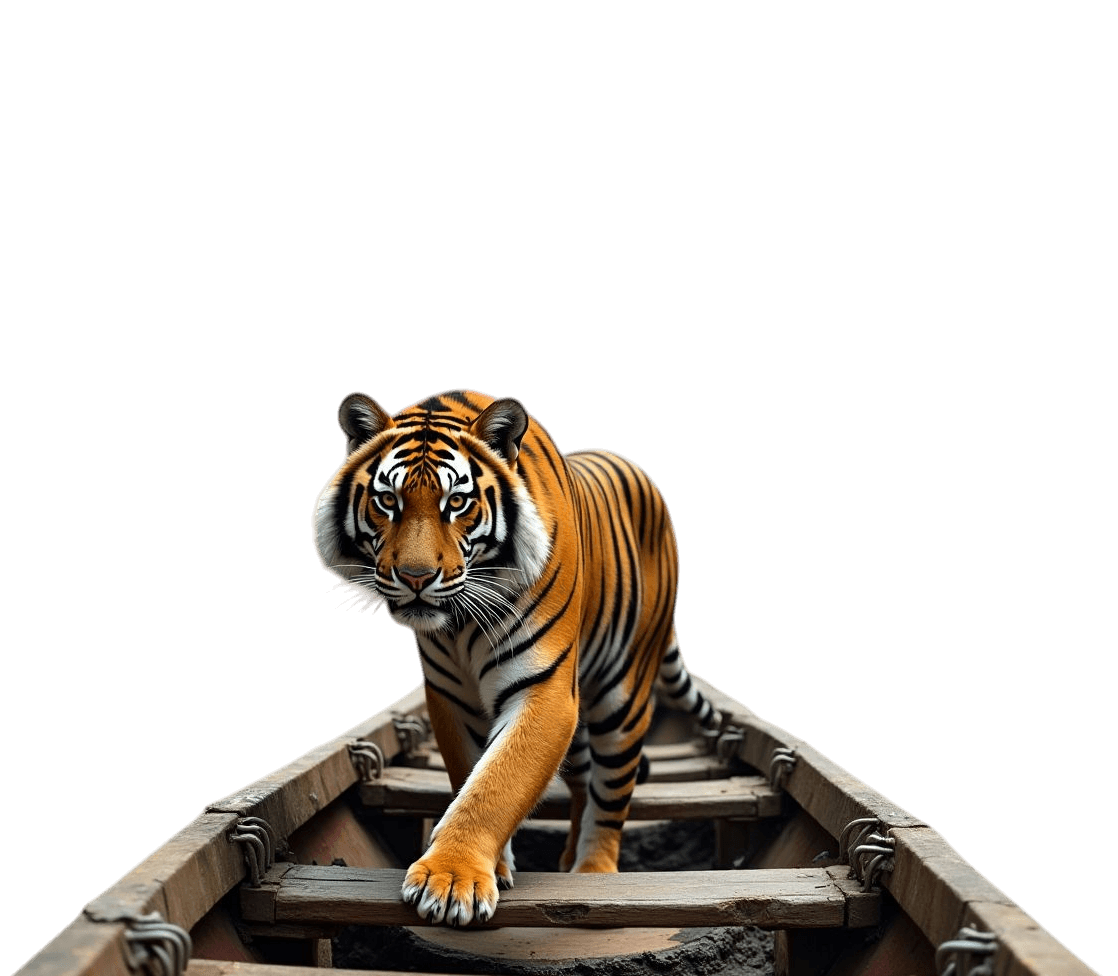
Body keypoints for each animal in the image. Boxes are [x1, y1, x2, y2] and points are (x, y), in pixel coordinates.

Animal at [312, 389, 718, 926]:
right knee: (583, 780)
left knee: (611, 793)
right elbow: (472, 772)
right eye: (387, 501)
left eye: (456, 502)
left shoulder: (545, 690)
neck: (460, 625)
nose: (416, 577)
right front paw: (491, 867)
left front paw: (451, 880)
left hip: (624, 697)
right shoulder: (450, 697)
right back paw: (568, 857)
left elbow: (497, 782)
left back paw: (592, 873)